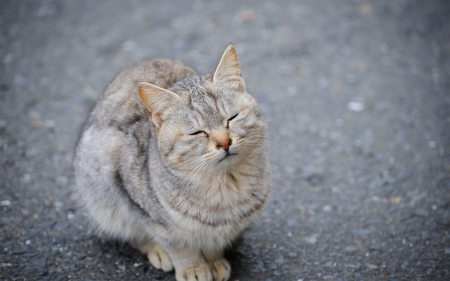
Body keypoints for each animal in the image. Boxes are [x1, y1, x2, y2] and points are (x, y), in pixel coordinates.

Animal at [74, 44, 270, 280]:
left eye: (232, 118)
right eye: (197, 132)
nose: (224, 142)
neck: (225, 184)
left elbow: (213, 240)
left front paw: (214, 259)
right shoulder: (146, 211)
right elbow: (178, 245)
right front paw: (193, 267)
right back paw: (158, 251)